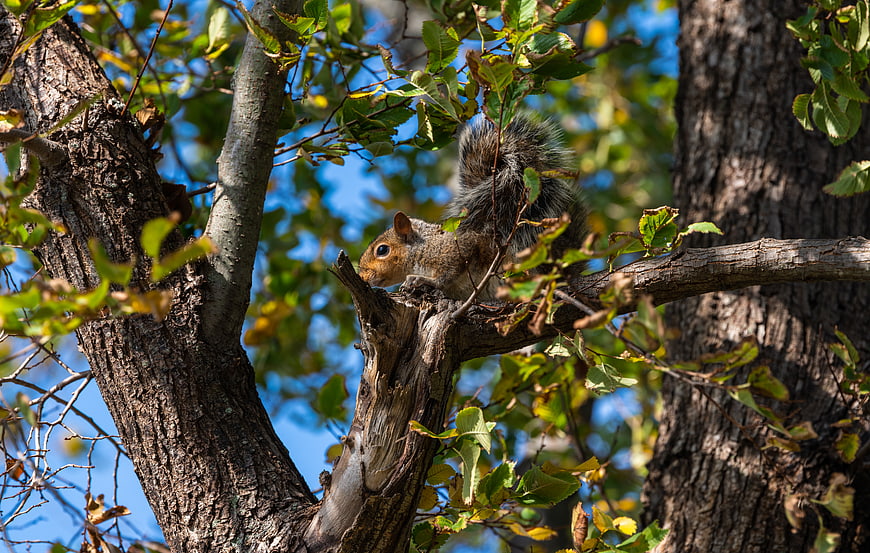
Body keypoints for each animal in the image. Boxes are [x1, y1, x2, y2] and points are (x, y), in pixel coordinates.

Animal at [358, 114, 587, 301]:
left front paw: (422, 280)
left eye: (382, 250)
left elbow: (447, 275)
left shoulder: (455, 250)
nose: (362, 277)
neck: (422, 247)